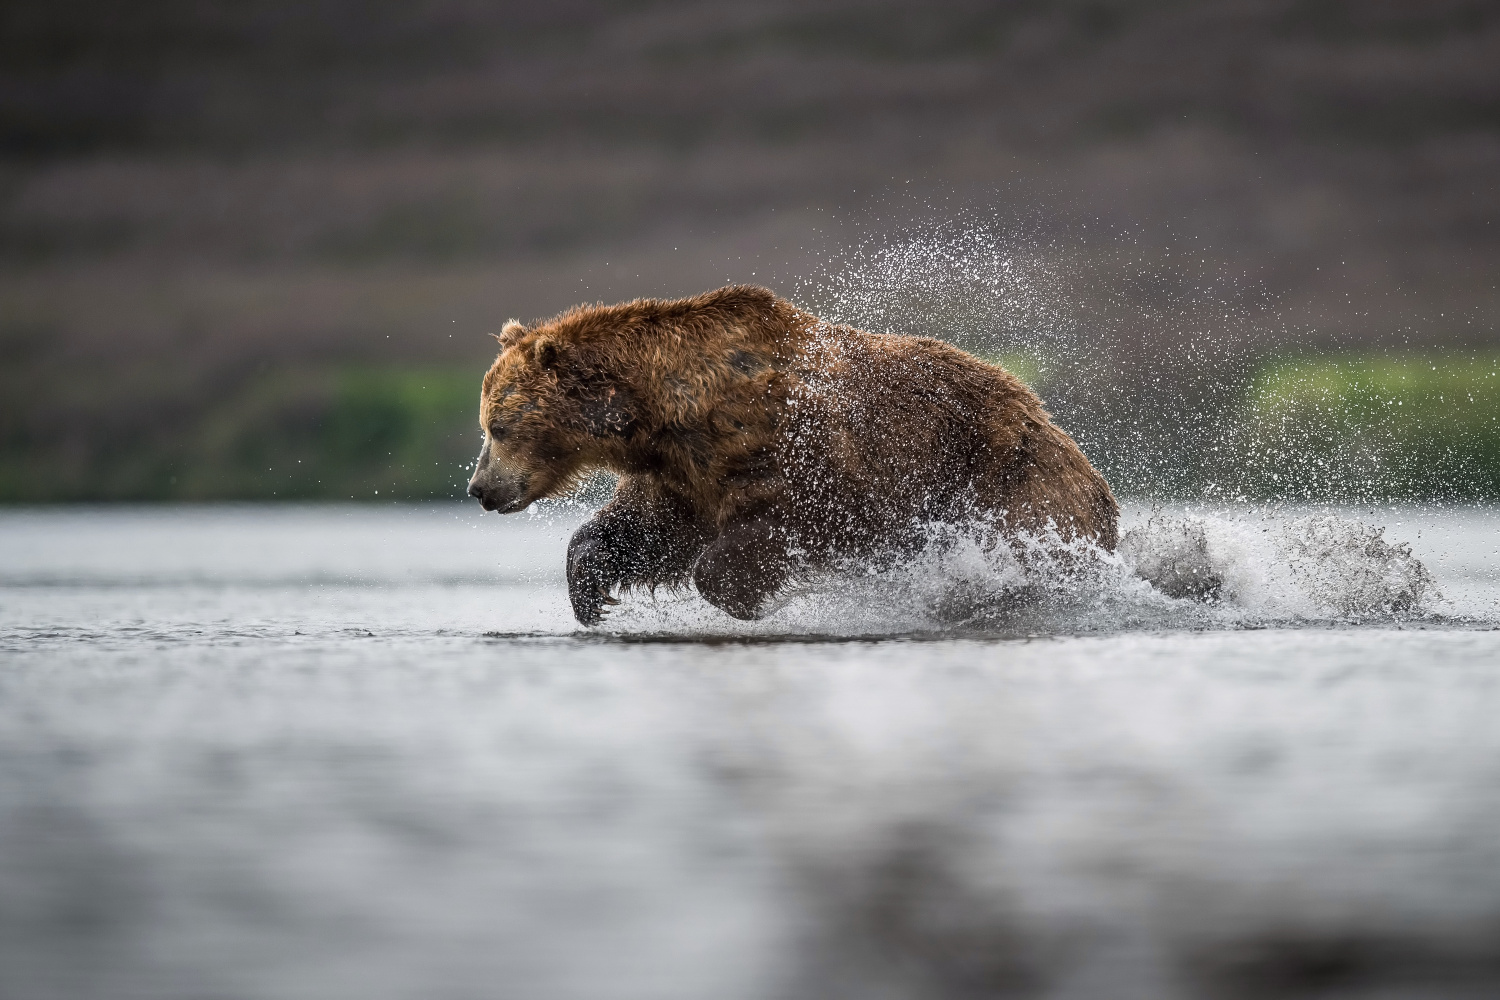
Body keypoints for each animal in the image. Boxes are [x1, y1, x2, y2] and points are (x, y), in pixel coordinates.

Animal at [468, 283, 1116, 626]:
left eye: (497, 426)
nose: (480, 489)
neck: (665, 412)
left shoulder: (799, 450)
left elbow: (796, 519)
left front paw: (745, 594)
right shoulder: (685, 471)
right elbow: (647, 526)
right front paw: (591, 590)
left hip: (1012, 481)